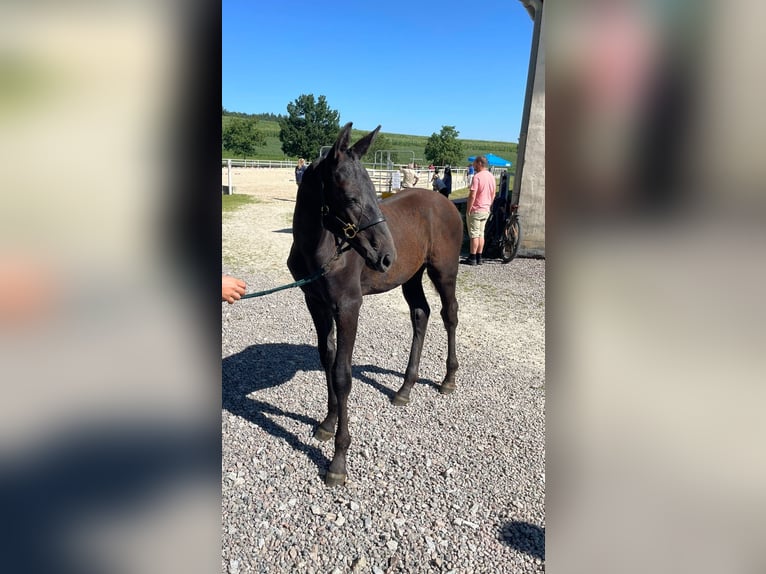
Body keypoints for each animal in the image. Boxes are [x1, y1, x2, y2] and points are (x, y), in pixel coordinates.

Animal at [288, 122, 462, 486]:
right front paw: (326, 424)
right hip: (411, 276)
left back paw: (448, 379)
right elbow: (327, 359)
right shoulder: (316, 303)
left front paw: (338, 461)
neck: (323, 249)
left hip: (444, 271)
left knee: (449, 314)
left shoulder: (348, 306)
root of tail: (446, 202)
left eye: (372, 189)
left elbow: (343, 374)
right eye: (351, 196)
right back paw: (405, 388)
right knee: (421, 314)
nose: (385, 256)